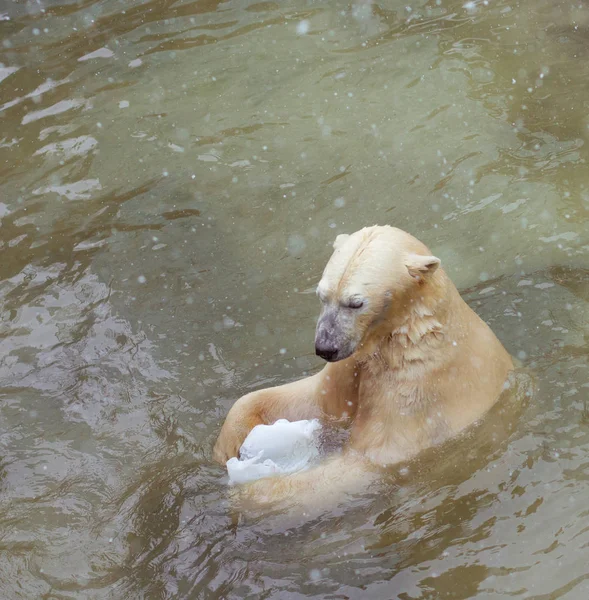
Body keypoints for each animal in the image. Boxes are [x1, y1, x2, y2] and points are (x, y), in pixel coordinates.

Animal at [214, 227, 512, 508]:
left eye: (355, 303)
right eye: (322, 296)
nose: (325, 347)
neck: (408, 334)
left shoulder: (417, 389)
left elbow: (368, 459)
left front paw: (251, 490)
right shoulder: (354, 362)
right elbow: (319, 401)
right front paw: (229, 445)